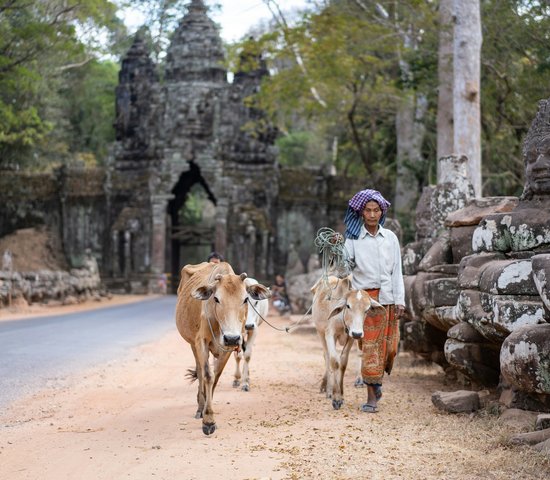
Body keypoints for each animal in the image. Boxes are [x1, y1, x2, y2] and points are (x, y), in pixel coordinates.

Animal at [177, 262, 272, 436]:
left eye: (245, 299)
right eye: (216, 298)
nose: (231, 338)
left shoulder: (229, 347)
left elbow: (216, 376)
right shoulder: (201, 341)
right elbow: (207, 376)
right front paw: (208, 420)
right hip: (192, 344)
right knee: (200, 372)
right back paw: (200, 406)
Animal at [312, 274, 386, 408]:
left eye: (367, 309)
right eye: (348, 306)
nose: (357, 333)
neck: (343, 318)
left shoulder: (351, 337)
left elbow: (343, 363)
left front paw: (341, 395)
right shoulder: (330, 333)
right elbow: (334, 361)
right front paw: (335, 398)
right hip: (320, 332)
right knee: (326, 356)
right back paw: (328, 389)